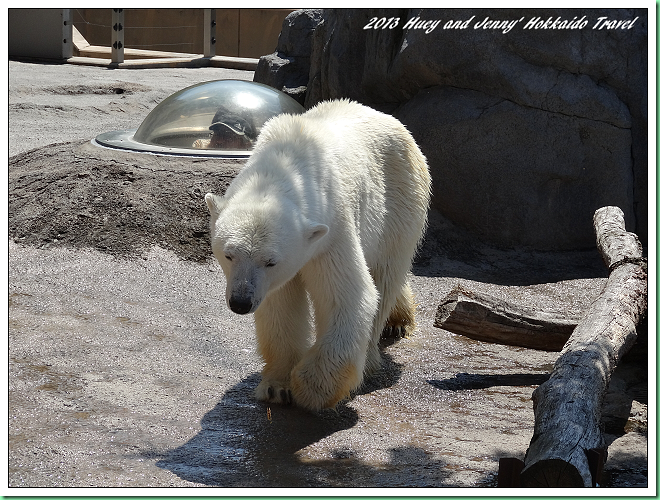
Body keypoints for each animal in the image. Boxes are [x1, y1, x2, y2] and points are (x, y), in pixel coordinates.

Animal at [206, 98, 434, 410]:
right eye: (229, 255)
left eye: (270, 262)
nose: (240, 302)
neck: (285, 163)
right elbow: (281, 305)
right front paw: (277, 387)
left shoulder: (332, 229)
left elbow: (347, 294)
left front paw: (312, 387)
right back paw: (400, 316)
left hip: (399, 199)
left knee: (385, 274)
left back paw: (378, 346)